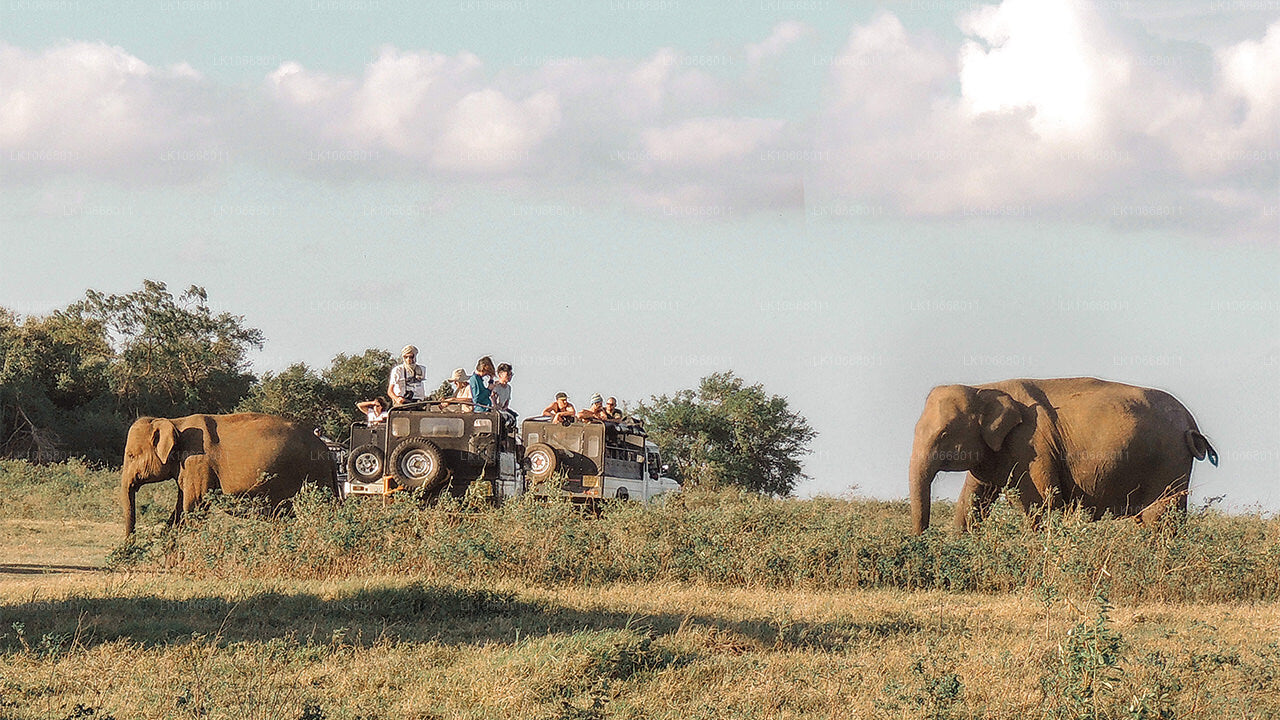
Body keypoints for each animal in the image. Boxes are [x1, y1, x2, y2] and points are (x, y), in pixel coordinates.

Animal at [120, 412, 337, 535]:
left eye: (131, 455)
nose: (130, 547)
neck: (175, 422)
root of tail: (327, 451)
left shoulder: (198, 462)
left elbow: (194, 507)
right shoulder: (188, 468)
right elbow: (180, 511)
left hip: (313, 475)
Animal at [906, 376, 1213, 532]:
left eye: (944, 434)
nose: (923, 540)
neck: (983, 388)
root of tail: (1191, 423)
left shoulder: (1030, 445)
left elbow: (1040, 502)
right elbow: (973, 501)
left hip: (1169, 462)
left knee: (1159, 518)